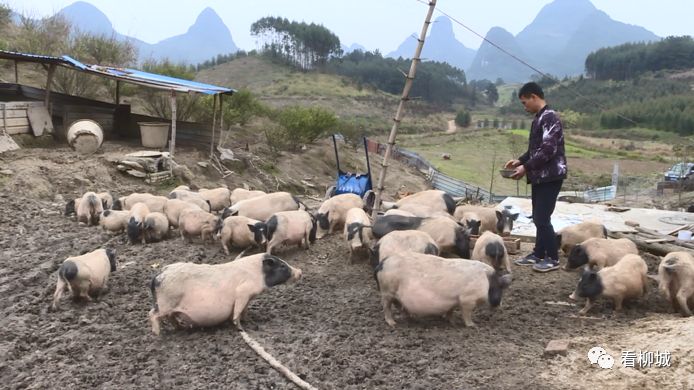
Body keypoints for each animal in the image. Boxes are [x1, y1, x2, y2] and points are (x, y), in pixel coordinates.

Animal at [148, 253, 304, 336]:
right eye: (282, 266)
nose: (300, 271)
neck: (258, 274)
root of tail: (159, 274)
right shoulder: (243, 291)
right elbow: (238, 311)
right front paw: (241, 328)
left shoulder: (248, 297)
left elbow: (245, 310)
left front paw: (249, 321)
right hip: (166, 303)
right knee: (152, 314)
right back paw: (157, 334)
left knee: (169, 316)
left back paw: (180, 328)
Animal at [376, 254, 516, 328]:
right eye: (500, 289)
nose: (499, 305)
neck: (487, 282)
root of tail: (382, 263)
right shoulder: (467, 299)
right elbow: (467, 314)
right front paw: (473, 325)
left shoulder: (454, 300)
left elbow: (451, 311)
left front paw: (452, 322)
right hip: (387, 290)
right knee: (386, 306)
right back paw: (392, 323)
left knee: (399, 305)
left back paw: (412, 318)